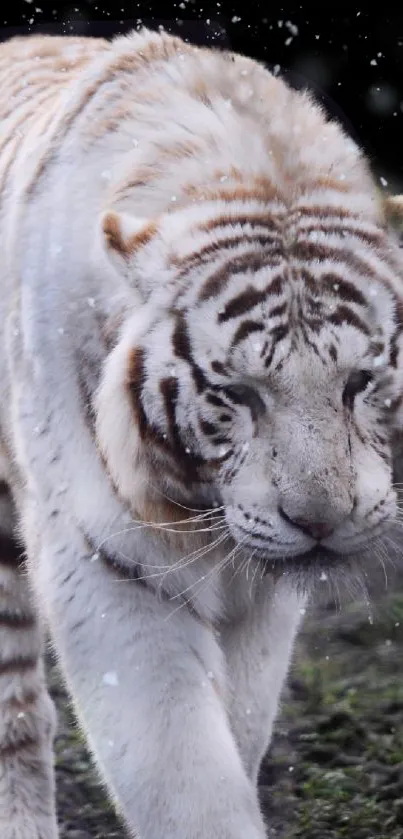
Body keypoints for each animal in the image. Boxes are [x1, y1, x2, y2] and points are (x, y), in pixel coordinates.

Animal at [0, 24, 403, 839]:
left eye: (358, 382)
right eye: (238, 394)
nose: (320, 522)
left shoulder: (265, 595)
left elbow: (239, 723)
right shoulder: (108, 564)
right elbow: (180, 766)